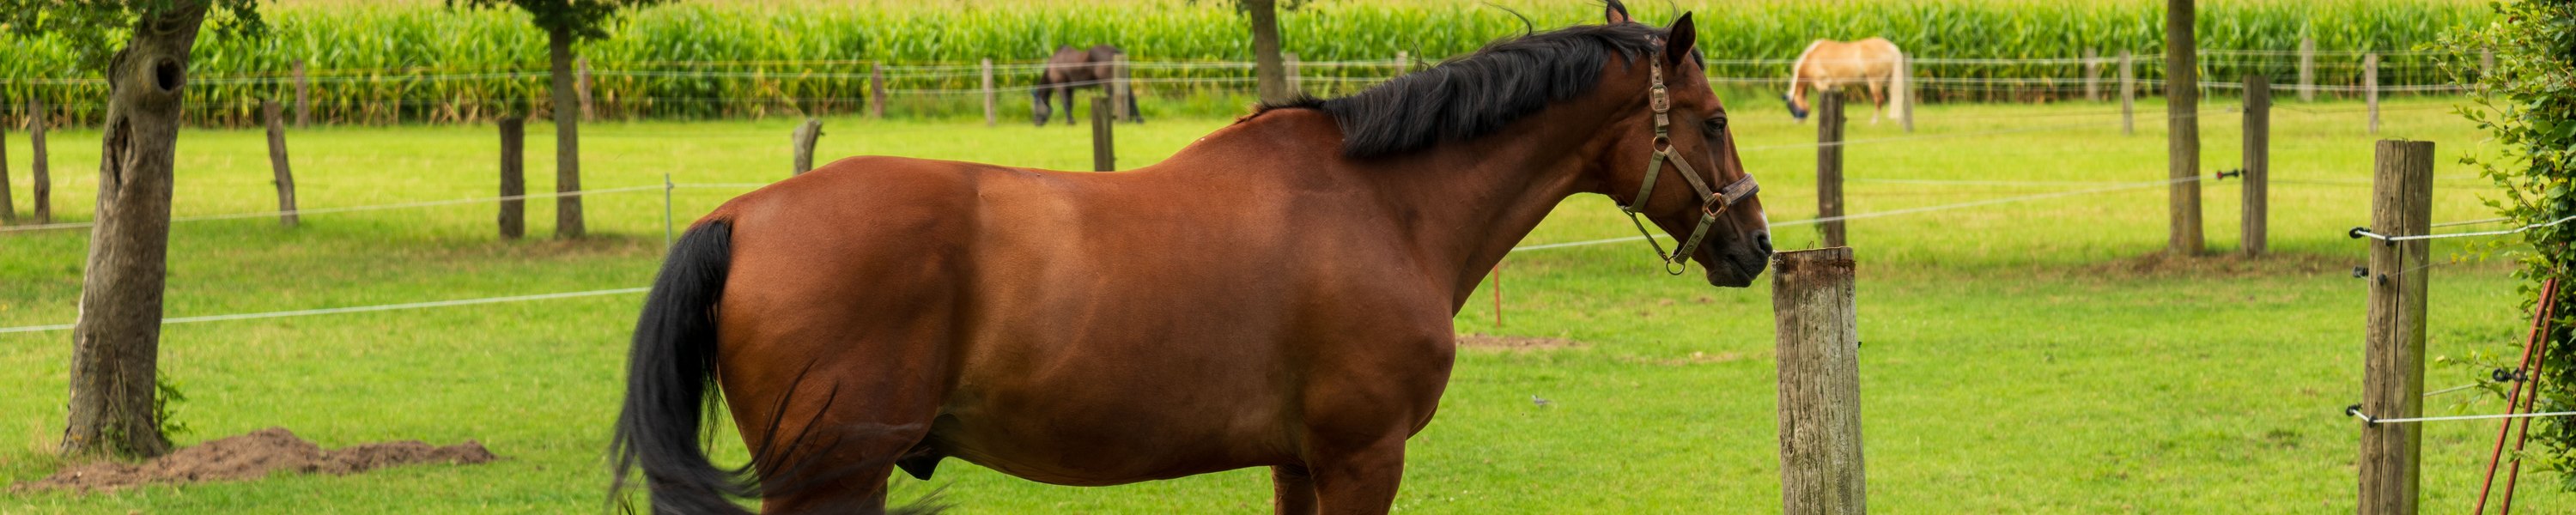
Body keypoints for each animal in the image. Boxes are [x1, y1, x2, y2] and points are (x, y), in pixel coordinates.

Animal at [1031, 44, 1144, 126]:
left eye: (1034, 106)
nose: (1036, 123)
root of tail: (1116, 51)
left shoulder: (1061, 86)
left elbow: (1065, 103)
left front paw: (1070, 122)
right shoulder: (1070, 89)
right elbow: (1070, 104)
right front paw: (1071, 120)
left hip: (1109, 84)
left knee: (1113, 99)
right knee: (1131, 98)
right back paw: (1138, 119)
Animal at [1782, 37, 1909, 125]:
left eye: (1792, 106)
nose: (1797, 122)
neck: (1812, 58)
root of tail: (1891, 48)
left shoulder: (1822, 85)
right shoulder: (1834, 87)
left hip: (1875, 82)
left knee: (1879, 100)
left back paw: (1873, 122)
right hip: (1890, 81)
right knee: (1897, 98)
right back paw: (1899, 121)